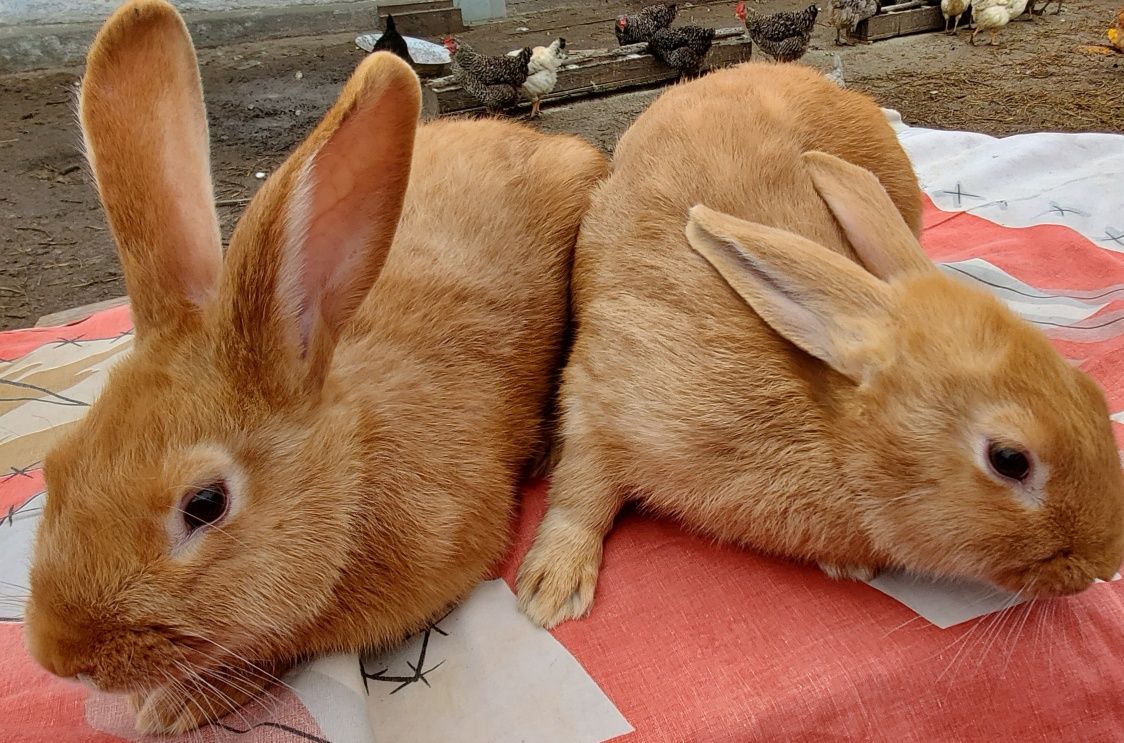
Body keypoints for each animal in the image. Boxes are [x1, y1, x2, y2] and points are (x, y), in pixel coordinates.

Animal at [517, 60, 1124, 629]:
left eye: (1094, 395)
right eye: (1009, 460)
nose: (1102, 566)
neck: (834, 432)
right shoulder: (601, 396)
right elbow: (582, 494)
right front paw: (550, 590)